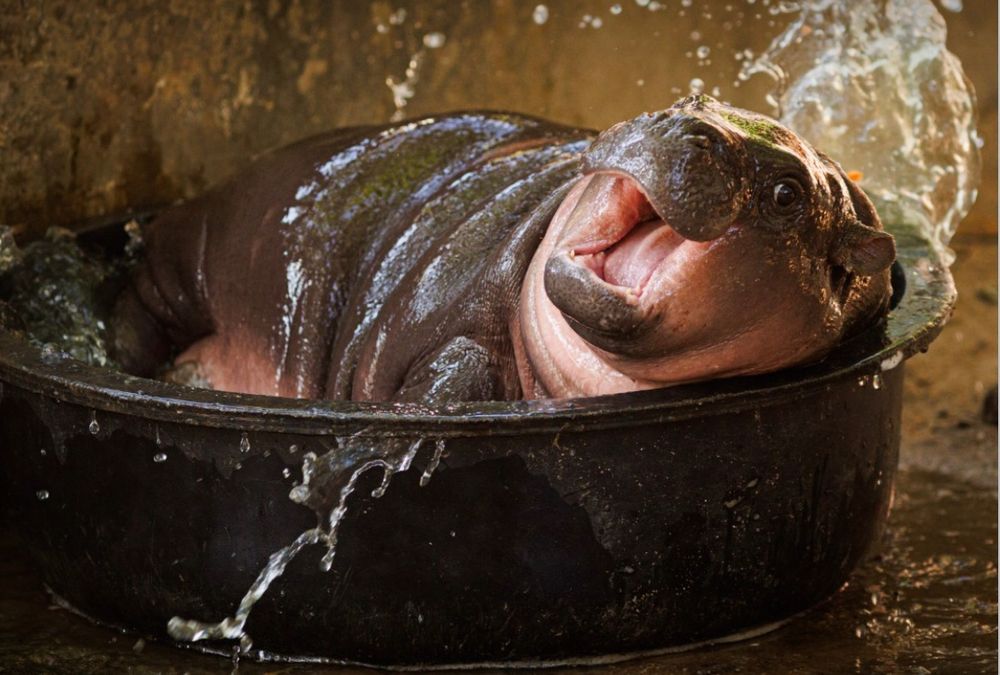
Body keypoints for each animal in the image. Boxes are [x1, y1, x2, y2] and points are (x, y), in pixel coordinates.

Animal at [110, 95, 895, 405]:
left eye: (788, 195)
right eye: (690, 98)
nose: (684, 126)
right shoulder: (452, 323)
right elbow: (447, 375)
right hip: (186, 267)